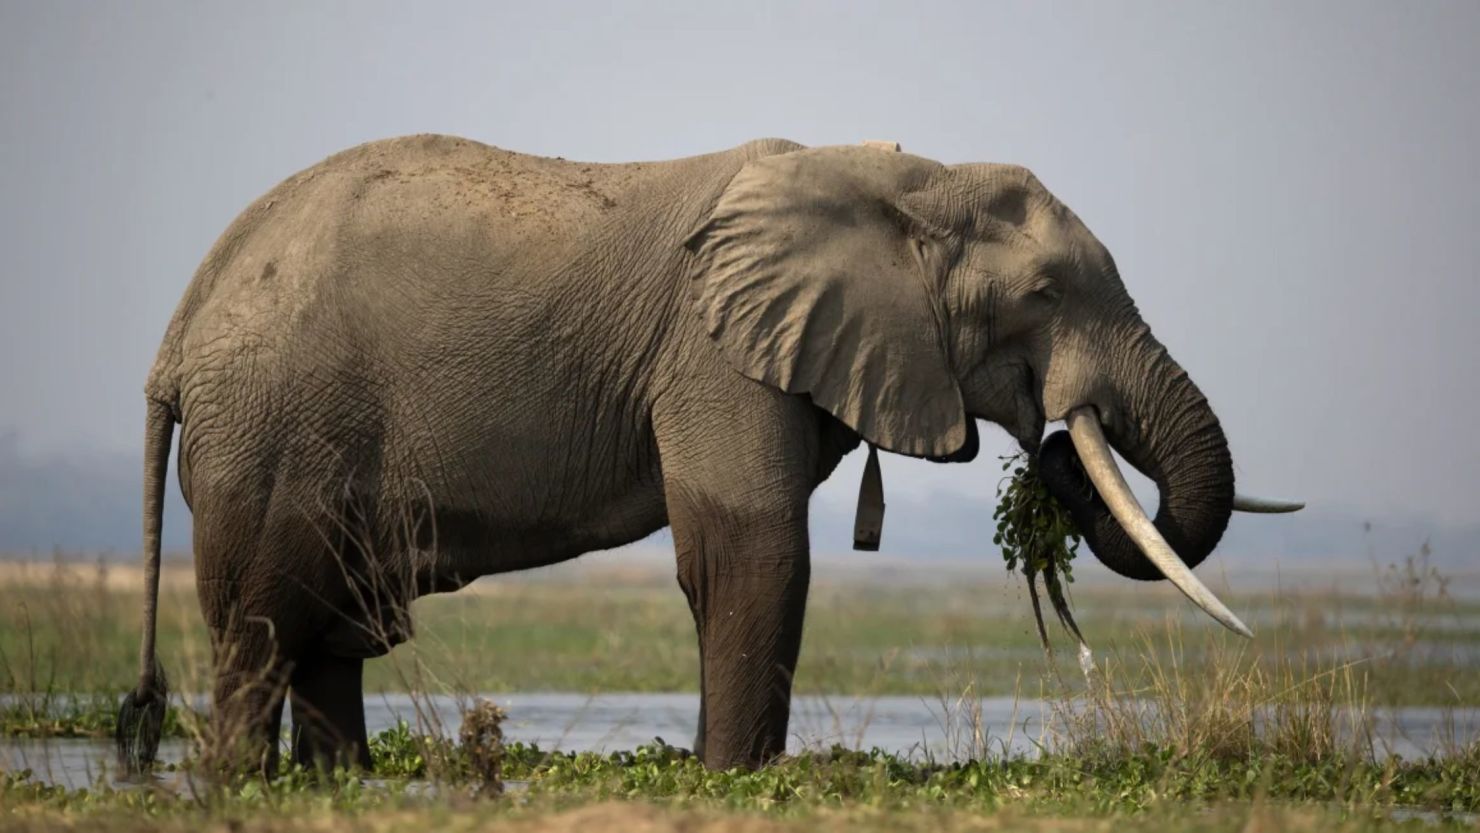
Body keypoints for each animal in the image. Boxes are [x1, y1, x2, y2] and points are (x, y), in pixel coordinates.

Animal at [112, 135, 1296, 775]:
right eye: (1045, 295)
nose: (1053, 452)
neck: (904, 174)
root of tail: (176, 332)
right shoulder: (715, 352)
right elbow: (751, 556)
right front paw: (736, 777)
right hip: (273, 427)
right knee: (268, 624)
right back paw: (238, 783)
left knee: (330, 629)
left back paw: (346, 782)